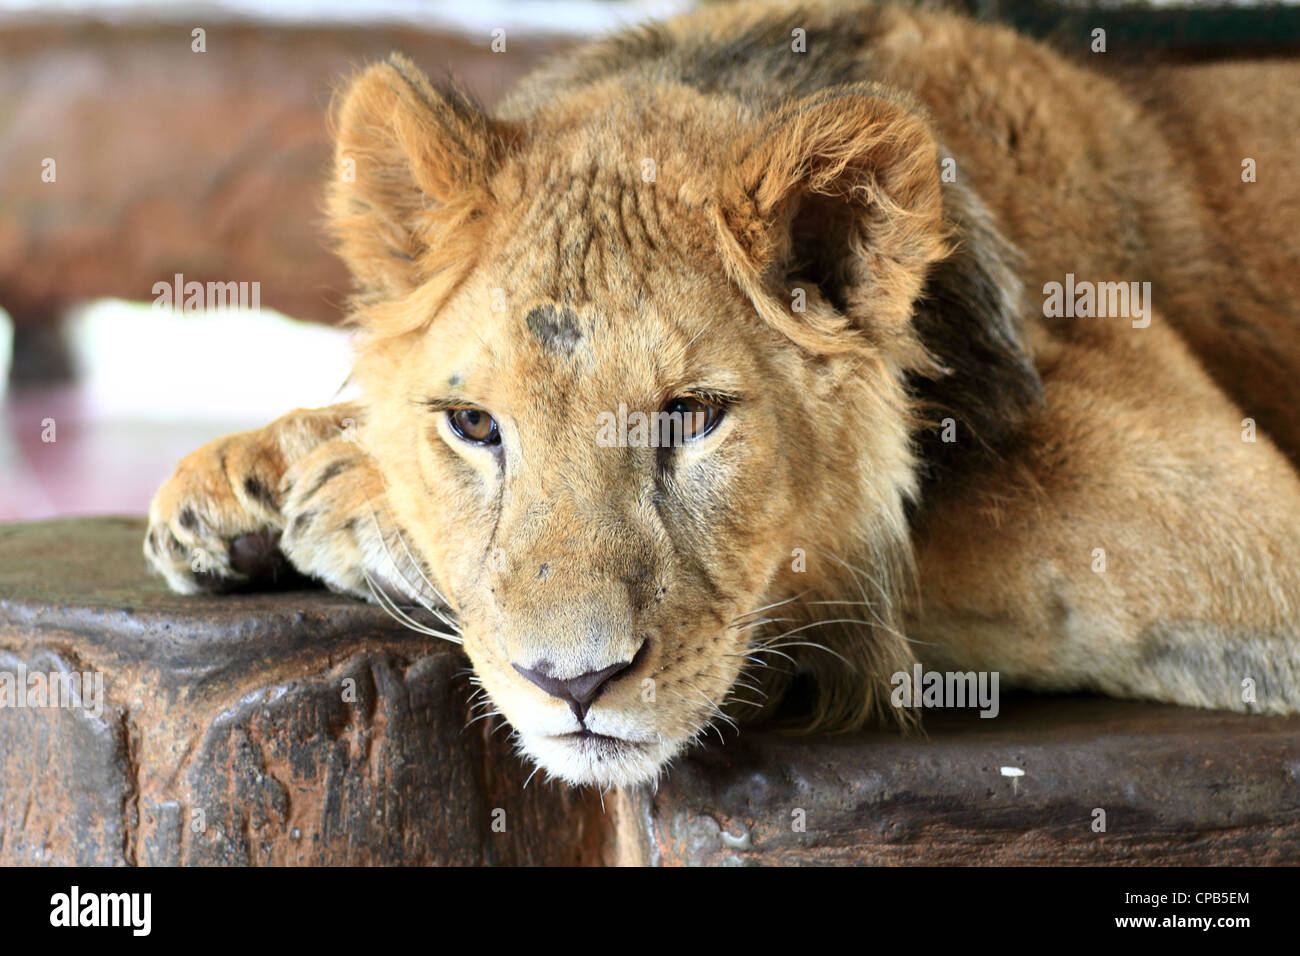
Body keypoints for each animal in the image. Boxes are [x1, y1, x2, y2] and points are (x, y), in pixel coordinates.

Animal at [143, 0, 1300, 789]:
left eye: (693, 417)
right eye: (473, 425)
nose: (573, 684)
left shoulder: (1236, 507)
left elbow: (877, 550)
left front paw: (349, 487)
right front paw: (240, 475)